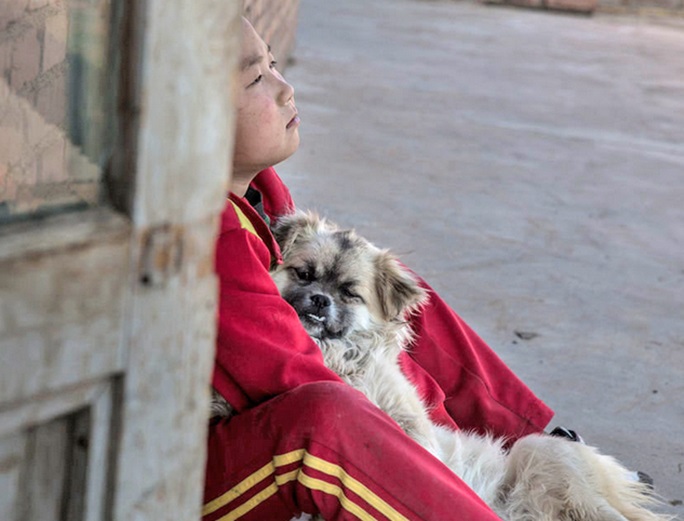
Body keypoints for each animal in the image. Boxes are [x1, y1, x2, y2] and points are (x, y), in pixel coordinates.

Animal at [266, 211, 668, 520]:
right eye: (304, 274)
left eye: (350, 293)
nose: (320, 300)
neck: (340, 358)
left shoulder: (409, 419)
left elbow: (418, 446)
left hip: (545, 455)